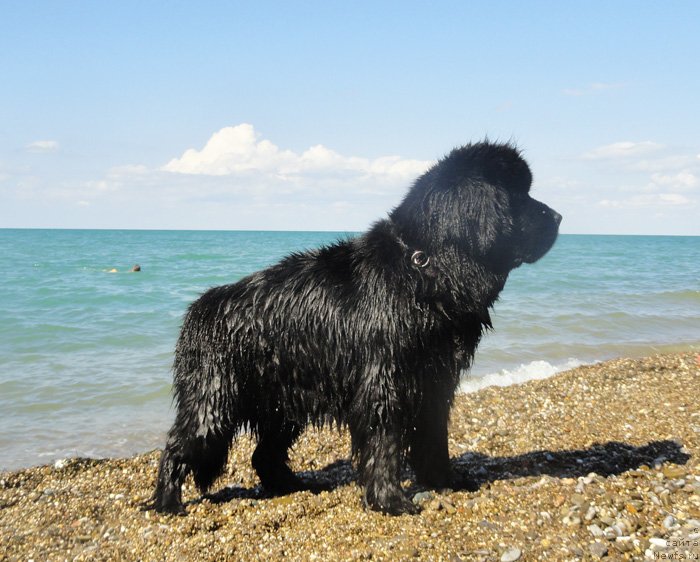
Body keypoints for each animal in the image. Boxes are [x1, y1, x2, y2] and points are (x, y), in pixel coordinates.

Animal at [150, 140, 560, 512]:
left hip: (283, 404)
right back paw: (167, 504)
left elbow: (434, 439)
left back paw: (293, 487)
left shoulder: (435, 382)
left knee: (263, 455)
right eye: (519, 195)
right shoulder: (384, 383)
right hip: (214, 402)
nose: (558, 217)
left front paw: (446, 481)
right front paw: (390, 500)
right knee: (176, 448)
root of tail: (200, 309)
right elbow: (384, 444)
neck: (422, 270)